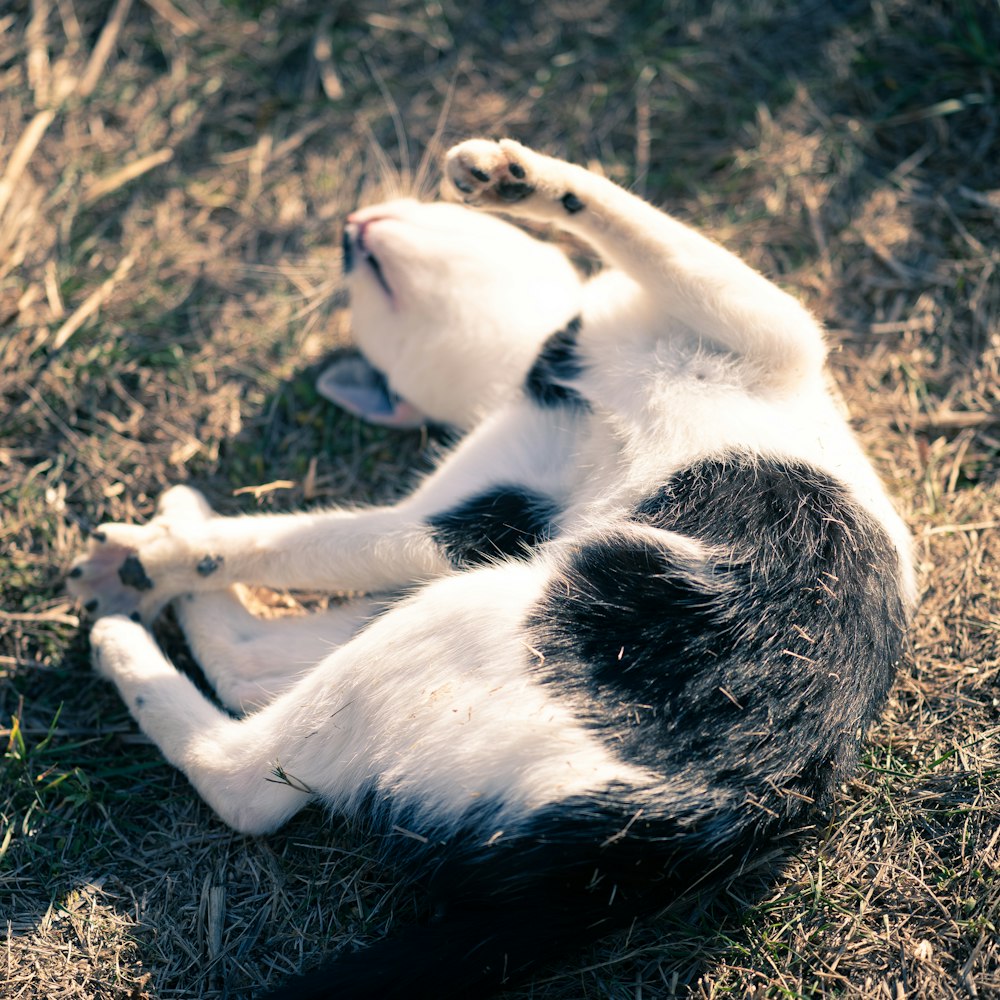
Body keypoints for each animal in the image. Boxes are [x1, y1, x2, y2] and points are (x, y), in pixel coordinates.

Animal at [68, 141, 916, 1000]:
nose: (348, 228)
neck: (551, 377)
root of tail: (662, 844)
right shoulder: (477, 519)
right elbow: (312, 542)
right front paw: (162, 557)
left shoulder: (763, 325)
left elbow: (638, 225)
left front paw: (515, 176)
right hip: (481, 605)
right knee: (250, 737)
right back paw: (143, 603)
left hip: (483, 608)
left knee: (249, 746)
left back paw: (141, 596)